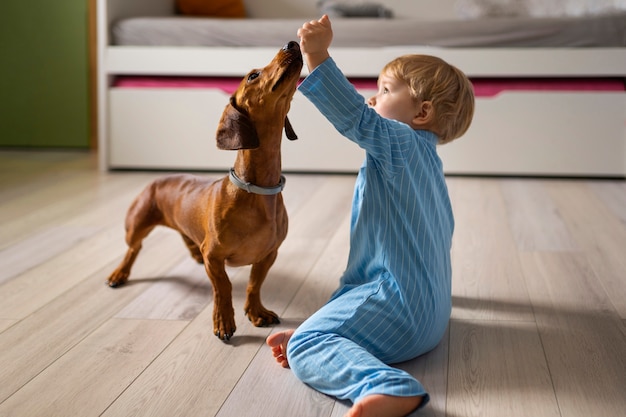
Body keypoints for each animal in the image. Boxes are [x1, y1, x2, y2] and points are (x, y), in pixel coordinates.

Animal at [107, 42, 302, 340]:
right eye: (253, 76)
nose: (291, 43)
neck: (256, 192)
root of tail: (158, 179)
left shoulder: (268, 255)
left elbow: (254, 284)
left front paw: (256, 311)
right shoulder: (214, 256)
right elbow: (223, 287)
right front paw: (224, 321)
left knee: (185, 239)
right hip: (137, 225)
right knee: (133, 249)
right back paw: (120, 273)